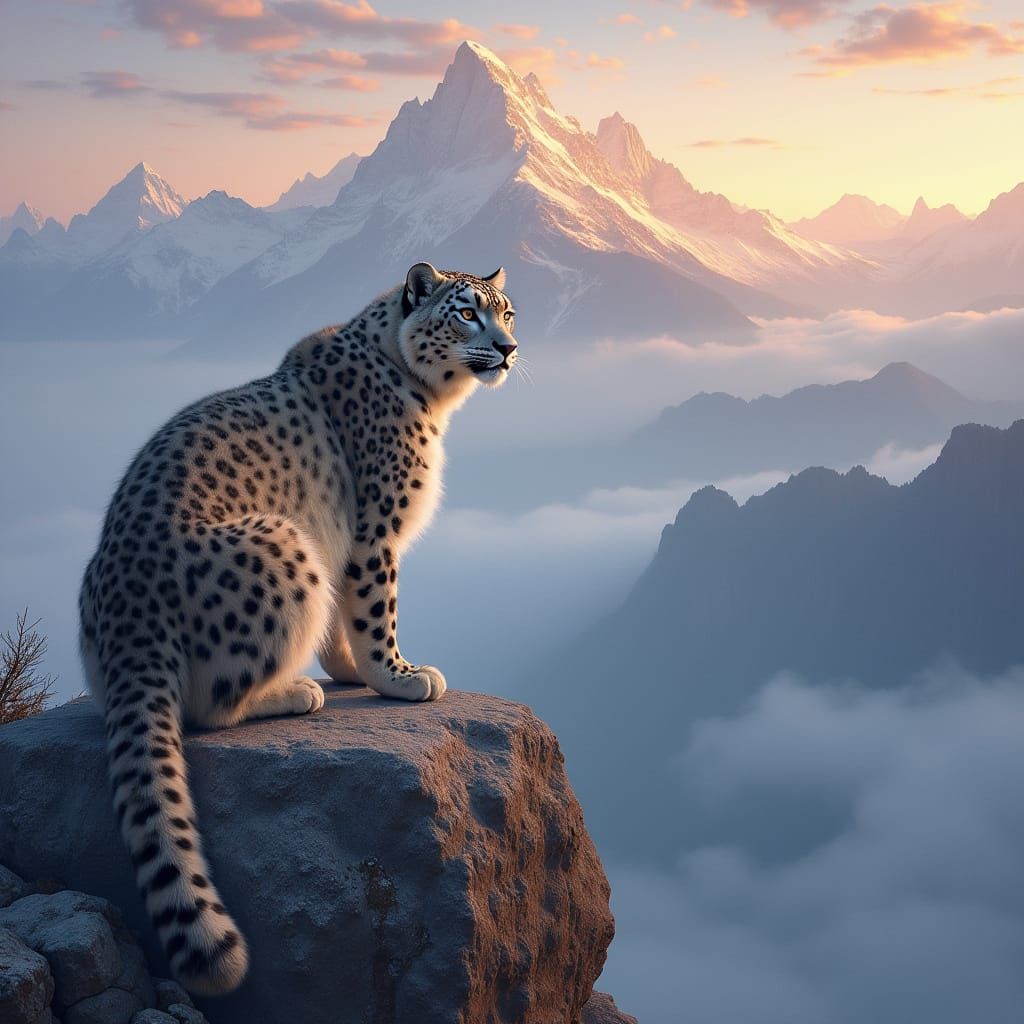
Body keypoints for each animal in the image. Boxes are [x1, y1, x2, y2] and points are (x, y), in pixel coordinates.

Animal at [77, 262, 517, 995]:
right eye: (466, 313)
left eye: (508, 310)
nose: (509, 349)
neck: (433, 401)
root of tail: (126, 608)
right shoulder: (374, 534)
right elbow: (374, 610)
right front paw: (398, 677)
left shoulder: (350, 545)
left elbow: (347, 618)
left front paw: (348, 670)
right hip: (285, 546)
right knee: (209, 707)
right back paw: (293, 692)